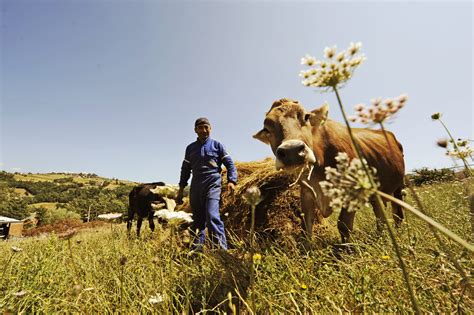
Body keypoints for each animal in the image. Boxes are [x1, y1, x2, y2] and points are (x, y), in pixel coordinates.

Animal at [254, 99, 406, 244]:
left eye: (306, 116)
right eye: (266, 129)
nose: (292, 151)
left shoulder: (352, 190)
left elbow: (344, 224)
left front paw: (348, 249)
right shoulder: (307, 192)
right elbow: (306, 226)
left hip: (399, 186)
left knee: (398, 212)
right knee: (380, 213)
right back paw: (382, 235)